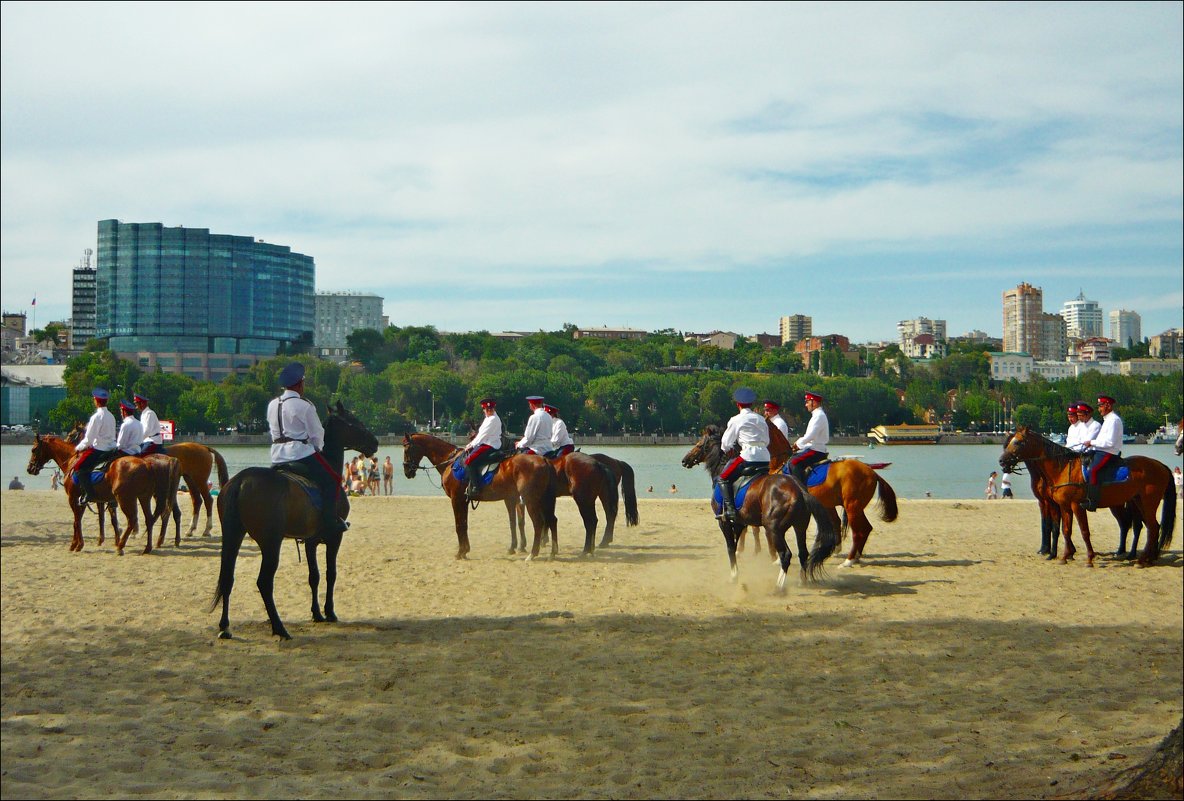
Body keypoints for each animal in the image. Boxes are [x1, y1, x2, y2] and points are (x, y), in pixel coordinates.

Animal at [26, 430, 179, 556]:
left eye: (34, 449)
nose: (30, 468)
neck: (73, 461)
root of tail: (147, 464)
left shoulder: (74, 498)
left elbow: (77, 521)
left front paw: (77, 544)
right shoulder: (88, 500)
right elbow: (90, 519)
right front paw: (83, 542)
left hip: (126, 499)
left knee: (134, 519)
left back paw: (122, 546)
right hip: (144, 497)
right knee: (151, 518)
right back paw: (148, 547)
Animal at [210, 402, 376, 638]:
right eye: (354, 422)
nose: (375, 442)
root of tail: (241, 481)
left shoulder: (310, 540)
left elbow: (314, 576)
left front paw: (317, 613)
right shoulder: (334, 538)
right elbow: (330, 574)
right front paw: (329, 612)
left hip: (233, 536)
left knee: (227, 577)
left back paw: (225, 626)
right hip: (270, 543)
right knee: (264, 582)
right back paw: (279, 628)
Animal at [402, 435, 558, 558]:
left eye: (407, 449)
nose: (406, 470)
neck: (450, 461)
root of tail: (543, 459)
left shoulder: (456, 499)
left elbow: (459, 525)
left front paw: (460, 552)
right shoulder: (464, 501)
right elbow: (464, 524)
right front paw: (465, 550)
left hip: (531, 499)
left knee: (538, 522)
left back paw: (533, 553)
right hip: (543, 500)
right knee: (551, 520)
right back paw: (551, 551)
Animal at [681, 428, 838, 591]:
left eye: (699, 445)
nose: (684, 460)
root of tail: (799, 489)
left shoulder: (724, 522)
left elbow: (730, 548)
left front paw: (734, 576)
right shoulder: (739, 523)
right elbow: (736, 547)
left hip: (774, 529)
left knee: (785, 555)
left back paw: (778, 586)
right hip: (799, 526)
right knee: (803, 553)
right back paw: (802, 581)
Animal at [999, 428, 1174, 565]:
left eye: (1018, 442)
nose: (1002, 461)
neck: (1063, 468)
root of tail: (1161, 465)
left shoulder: (1076, 505)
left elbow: (1083, 531)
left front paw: (1089, 558)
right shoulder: (1063, 506)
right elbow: (1065, 530)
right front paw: (1065, 556)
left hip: (1146, 504)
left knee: (1149, 527)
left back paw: (1141, 558)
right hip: (1137, 503)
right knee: (1147, 526)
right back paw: (1146, 557)